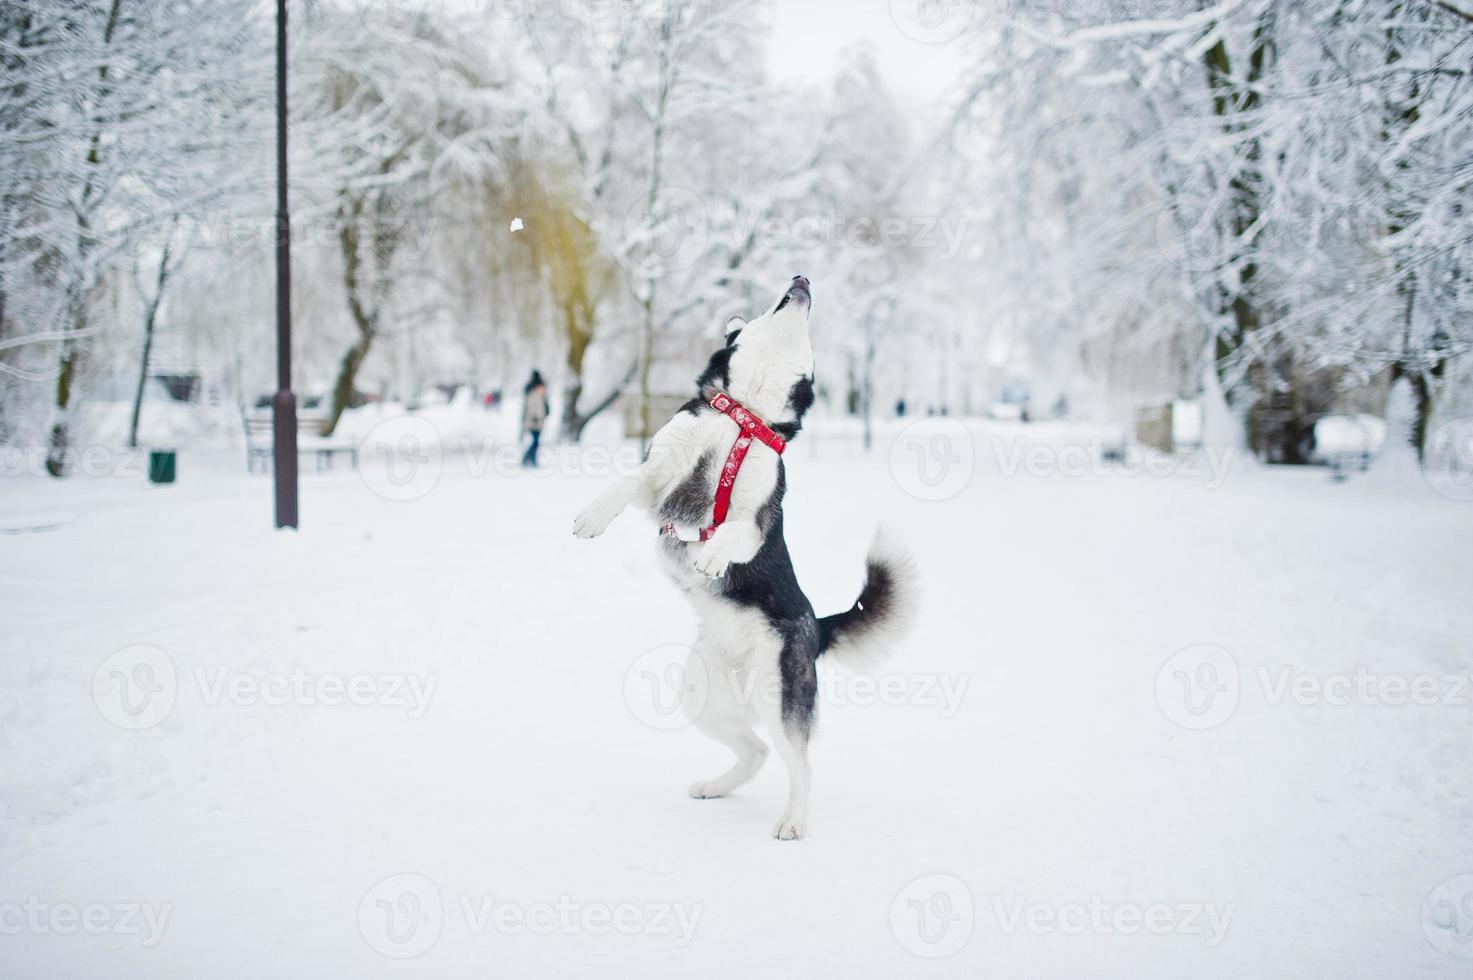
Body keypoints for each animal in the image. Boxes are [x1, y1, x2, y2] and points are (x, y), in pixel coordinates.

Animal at [571, 277, 907, 842]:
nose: (802, 278)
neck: (745, 417)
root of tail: (817, 625)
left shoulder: (759, 516)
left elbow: (734, 531)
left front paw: (711, 557)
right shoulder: (657, 478)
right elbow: (624, 486)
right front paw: (592, 516)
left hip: (777, 693)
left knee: (800, 764)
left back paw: (793, 820)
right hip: (701, 698)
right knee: (757, 750)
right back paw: (717, 786)